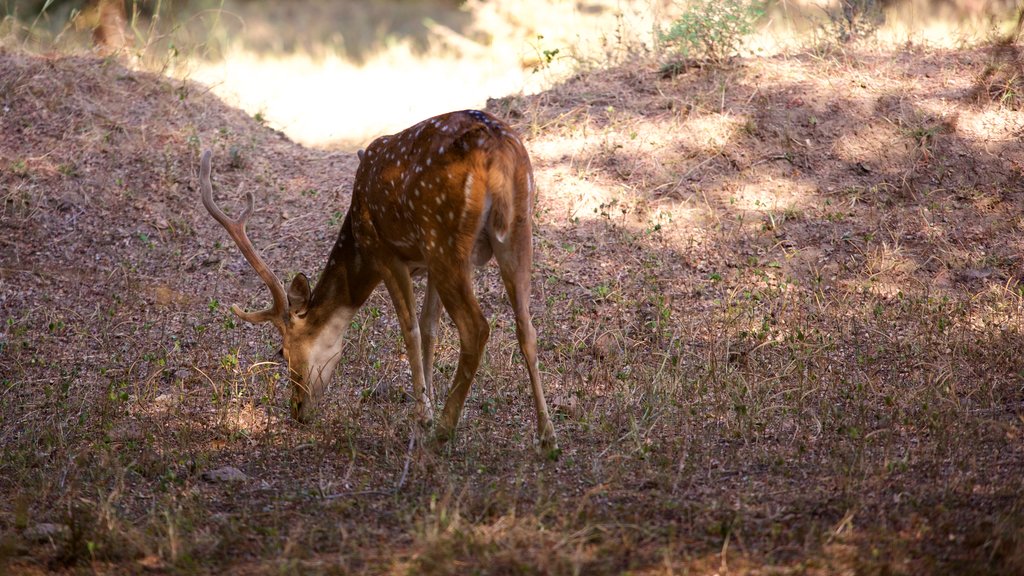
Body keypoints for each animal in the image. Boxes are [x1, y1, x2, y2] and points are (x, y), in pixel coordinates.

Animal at [200, 107, 561, 448]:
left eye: (283, 352)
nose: (297, 409)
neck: (358, 242)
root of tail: (497, 150)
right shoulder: (426, 262)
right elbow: (430, 328)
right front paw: (428, 398)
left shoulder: (386, 254)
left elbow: (411, 330)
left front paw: (423, 416)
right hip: (515, 229)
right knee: (526, 327)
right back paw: (546, 435)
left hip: (445, 237)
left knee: (476, 328)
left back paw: (445, 429)